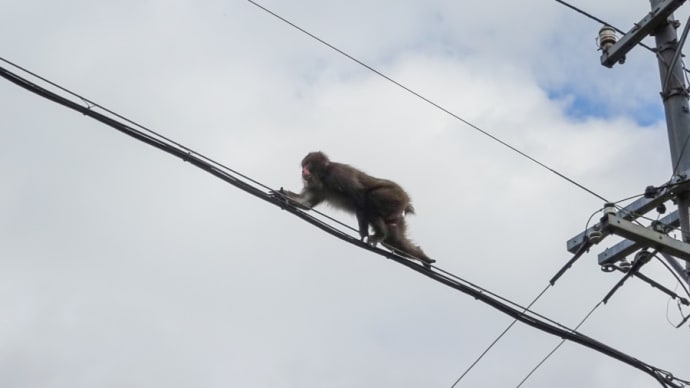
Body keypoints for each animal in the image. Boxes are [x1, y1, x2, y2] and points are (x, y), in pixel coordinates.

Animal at [278, 151, 430, 266]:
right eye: (303, 165)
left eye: (308, 164)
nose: (303, 171)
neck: (324, 176)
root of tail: (406, 200)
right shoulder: (317, 187)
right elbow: (306, 203)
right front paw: (281, 194)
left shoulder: (339, 174)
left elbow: (360, 197)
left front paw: (363, 232)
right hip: (395, 214)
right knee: (394, 241)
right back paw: (424, 258)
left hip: (394, 195)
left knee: (369, 198)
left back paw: (380, 234)